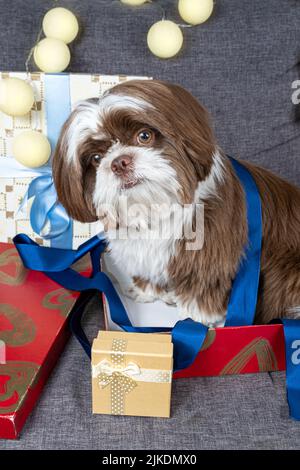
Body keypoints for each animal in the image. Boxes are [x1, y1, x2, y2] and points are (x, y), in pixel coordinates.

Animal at [52, 78, 300, 326]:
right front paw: (147, 290)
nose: (119, 162)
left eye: (144, 136)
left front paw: (197, 318)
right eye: (96, 158)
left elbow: (203, 286)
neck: (156, 204)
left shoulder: (209, 256)